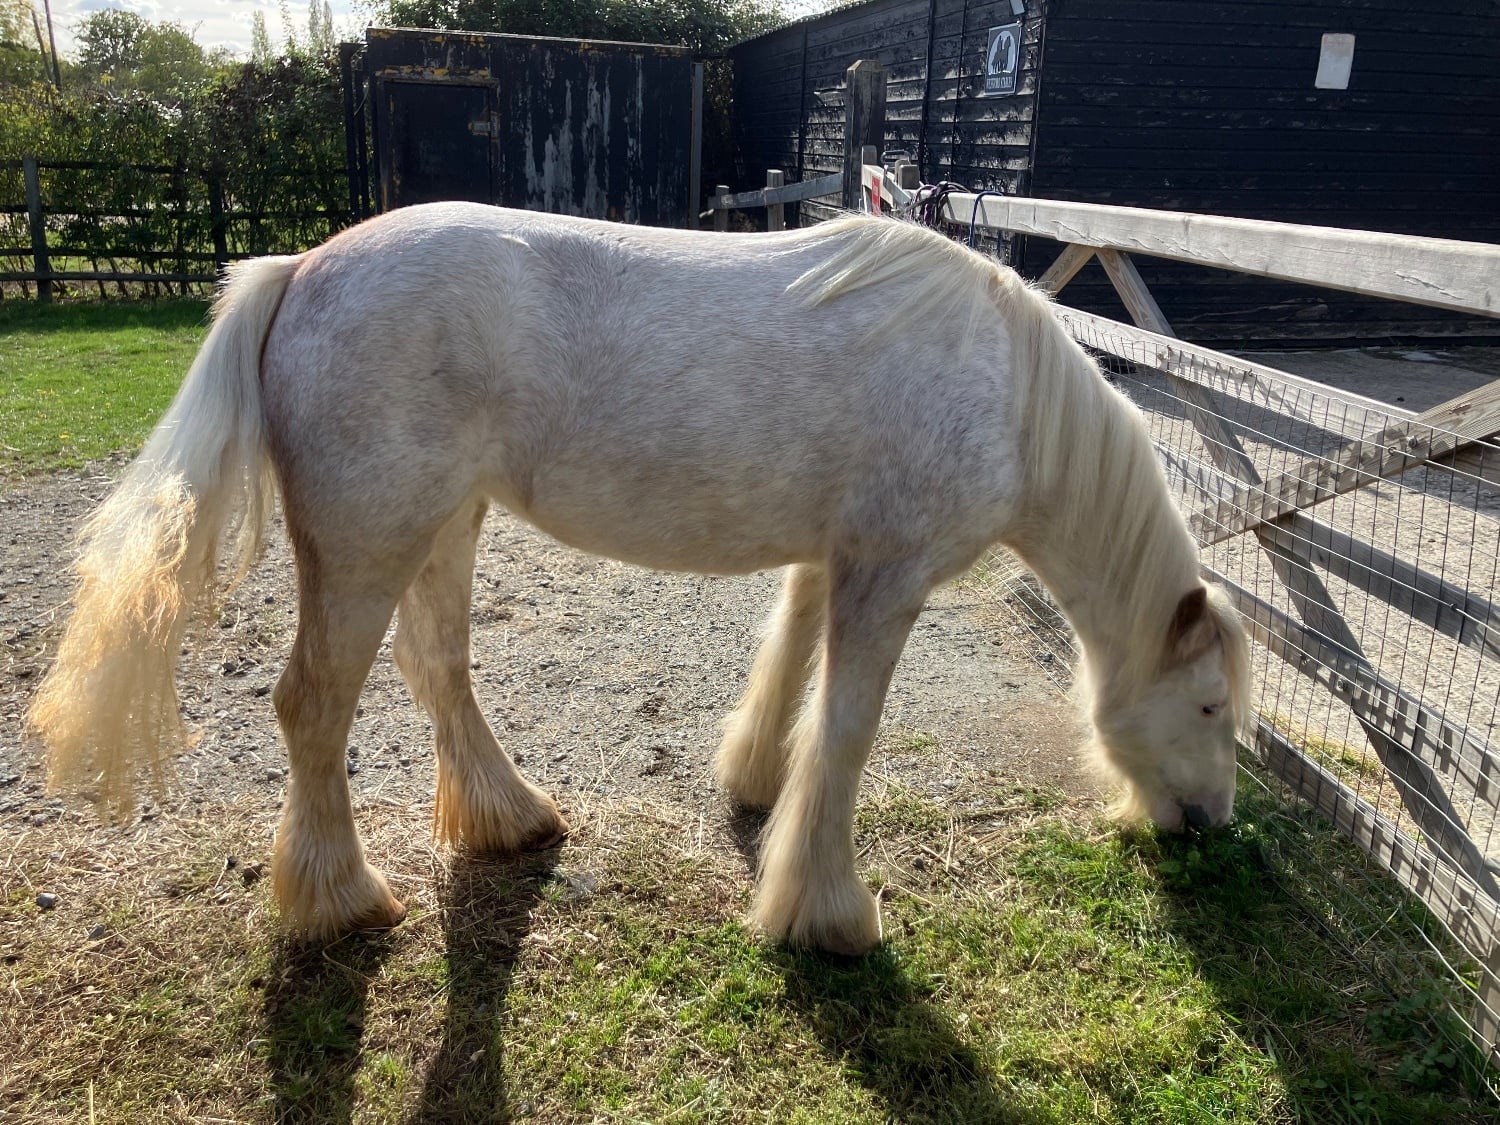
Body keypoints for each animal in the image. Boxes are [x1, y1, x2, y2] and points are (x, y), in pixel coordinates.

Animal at [27, 204, 1250, 955]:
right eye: (1209, 707)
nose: (1207, 824)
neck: (1008, 390)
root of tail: (300, 270)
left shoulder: (835, 562)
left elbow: (790, 677)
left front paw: (756, 786)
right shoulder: (888, 577)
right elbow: (847, 734)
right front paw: (829, 916)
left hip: (443, 526)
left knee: (438, 666)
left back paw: (508, 818)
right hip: (368, 547)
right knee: (314, 707)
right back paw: (340, 899)